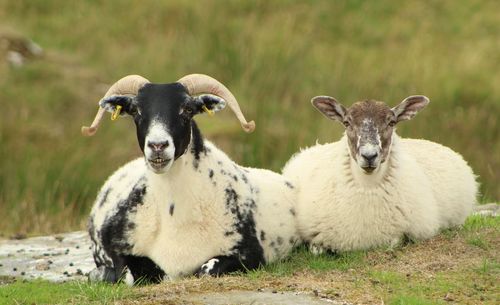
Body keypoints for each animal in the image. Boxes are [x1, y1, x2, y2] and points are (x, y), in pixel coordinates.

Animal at [83, 73, 298, 282]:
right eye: (135, 110)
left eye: (187, 109)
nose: (158, 145)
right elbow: (126, 274)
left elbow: (205, 270)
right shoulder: (114, 248)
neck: (175, 217)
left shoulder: (251, 254)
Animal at [282, 95, 476, 252]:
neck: (367, 186)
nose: (369, 156)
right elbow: (316, 249)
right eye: (347, 123)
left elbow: (394, 242)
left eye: (392, 122)